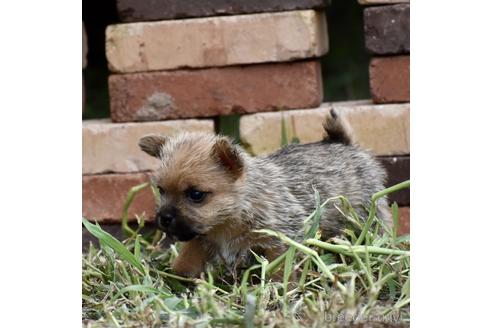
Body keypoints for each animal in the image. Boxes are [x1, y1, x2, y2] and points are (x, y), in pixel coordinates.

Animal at [137, 114, 388, 278]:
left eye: (196, 195)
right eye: (161, 190)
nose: (164, 218)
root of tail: (343, 143)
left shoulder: (281, 241)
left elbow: (280, 270)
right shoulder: (202, 240)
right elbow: (185, 263)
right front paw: (178, 279)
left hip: (366, 217)